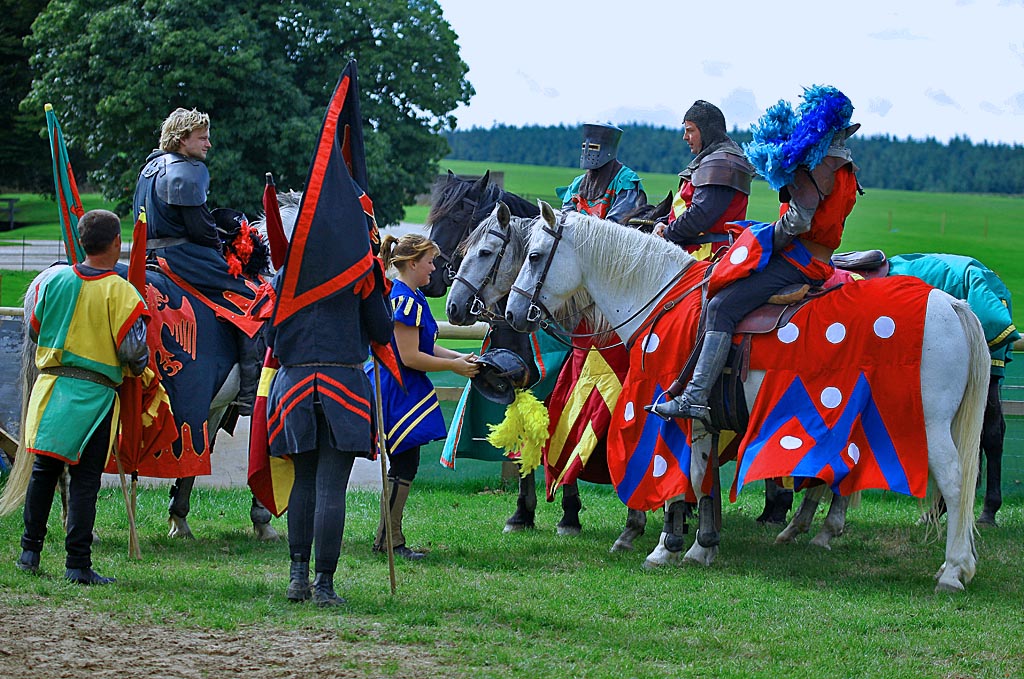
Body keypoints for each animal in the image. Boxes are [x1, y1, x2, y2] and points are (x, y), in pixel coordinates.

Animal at [507, 199, 987, 593]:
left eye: (534, 256)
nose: (512, 313)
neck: (659, 297)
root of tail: (951, 305)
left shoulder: (667, 411)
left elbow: (676, 478)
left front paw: (665, 547)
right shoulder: (700, 416)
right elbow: (700, 475)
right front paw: (701, 547)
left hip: (928, 425)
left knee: (955, 482)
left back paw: (953, 570)